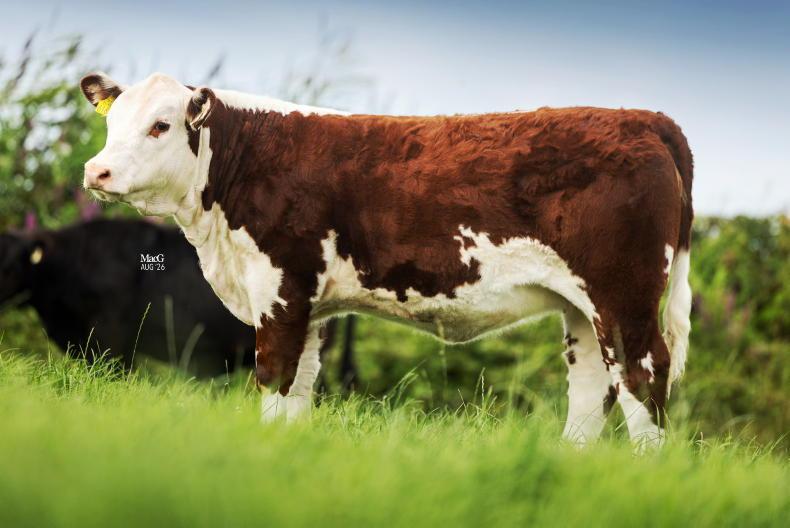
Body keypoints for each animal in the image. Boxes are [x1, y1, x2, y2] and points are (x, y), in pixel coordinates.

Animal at [80, 72, 693, 447]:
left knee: (641, 377)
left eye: (160, 125)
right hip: (582, 307)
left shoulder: (280, 288)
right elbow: (301, 388)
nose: (95, 171)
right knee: (591, 386)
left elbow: (274, 381)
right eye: (111, 123)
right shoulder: (309, 307)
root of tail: (644, 118)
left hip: (623, 295)